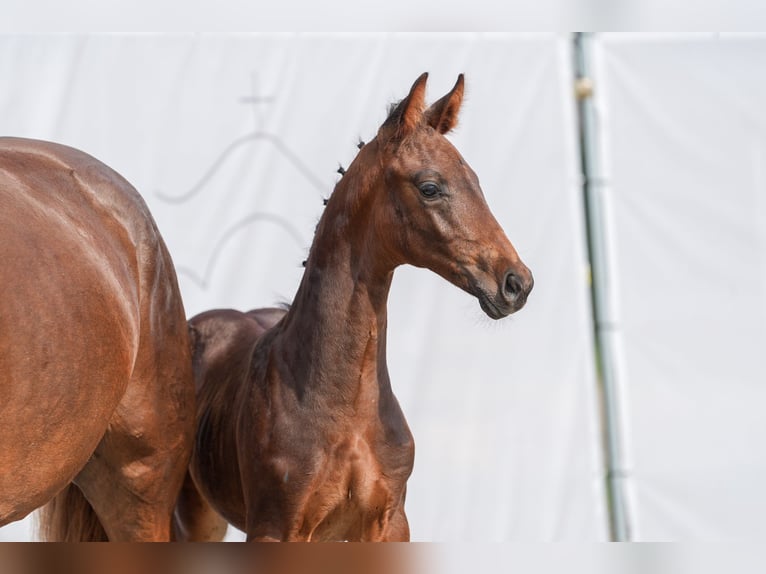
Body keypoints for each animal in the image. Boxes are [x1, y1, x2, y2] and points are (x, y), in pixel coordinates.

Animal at [174, 74, 536, 544]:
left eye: (475, 180)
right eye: (430, 187)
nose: (517, 283)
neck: (346, 408)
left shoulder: (388, 524)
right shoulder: (278, 528)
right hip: (190, 515)